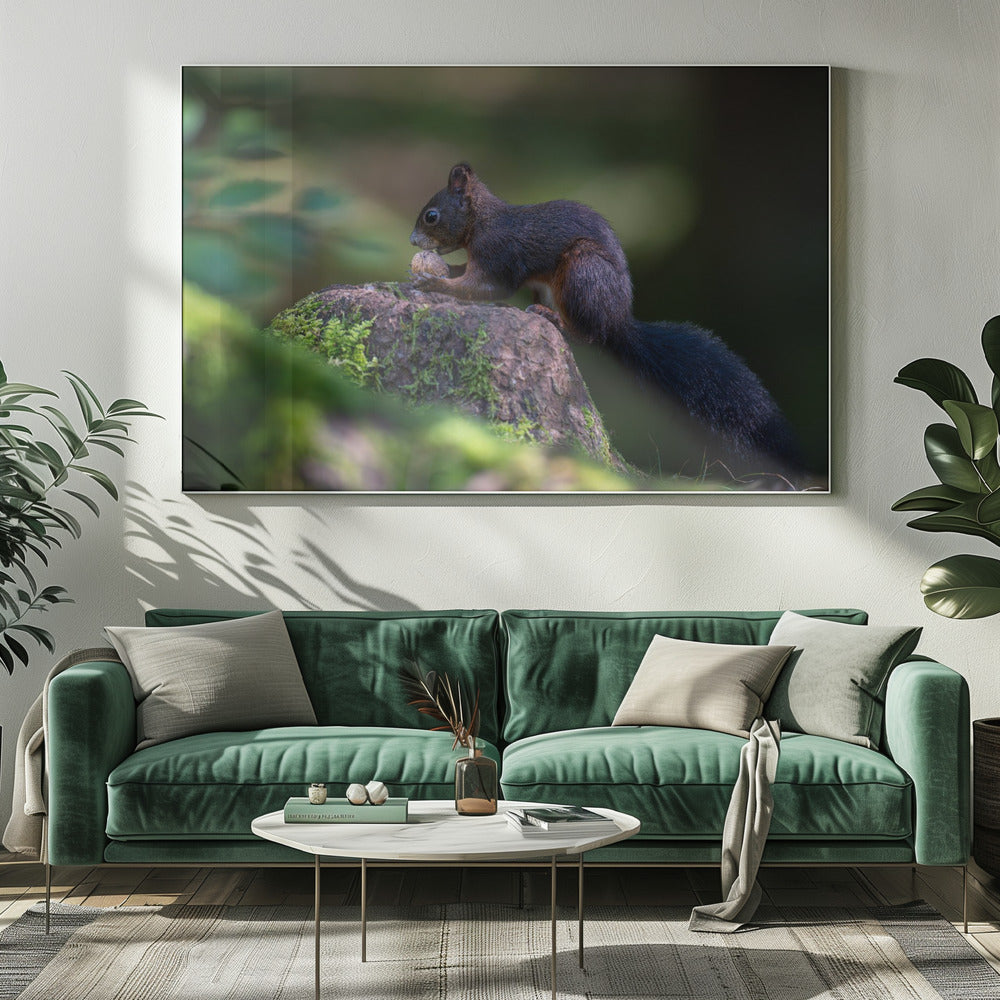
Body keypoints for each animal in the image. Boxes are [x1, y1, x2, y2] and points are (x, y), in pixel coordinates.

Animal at [409, 163, 804, 477]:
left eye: (432, 215)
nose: (412, 241)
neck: (482, 221)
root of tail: (618, 322)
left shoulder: (498, 255)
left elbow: (485, 287)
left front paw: (434, 282)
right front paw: (433, 272)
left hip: (583, 272)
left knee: (588, 335)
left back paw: (553, 318)